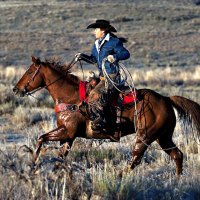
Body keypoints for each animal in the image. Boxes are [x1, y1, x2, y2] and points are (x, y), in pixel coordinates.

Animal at [13, 56, 199, 175]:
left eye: (29, 72)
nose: (16, 89)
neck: (70, 97)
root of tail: (166, 99)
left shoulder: (68, 132)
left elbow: (41, 138)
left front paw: (33, 165)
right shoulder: (68, 136)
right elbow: (58, 157)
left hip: (145, 136)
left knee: (135, 159)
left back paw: (119, 177)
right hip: (163, 137)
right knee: (177, 155)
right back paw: (177, 181)